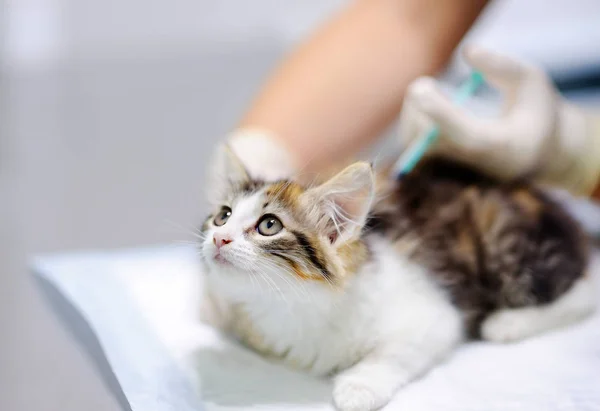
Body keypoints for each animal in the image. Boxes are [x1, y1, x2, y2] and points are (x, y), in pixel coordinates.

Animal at [198, 145, 596, 411]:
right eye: (222, 216)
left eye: (269, 225)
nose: (220, 238)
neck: (291, 304)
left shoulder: (433, 313)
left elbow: (394, 351)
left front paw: (359, 386)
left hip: (507, 247)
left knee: (585, 290)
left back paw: (509, 323)